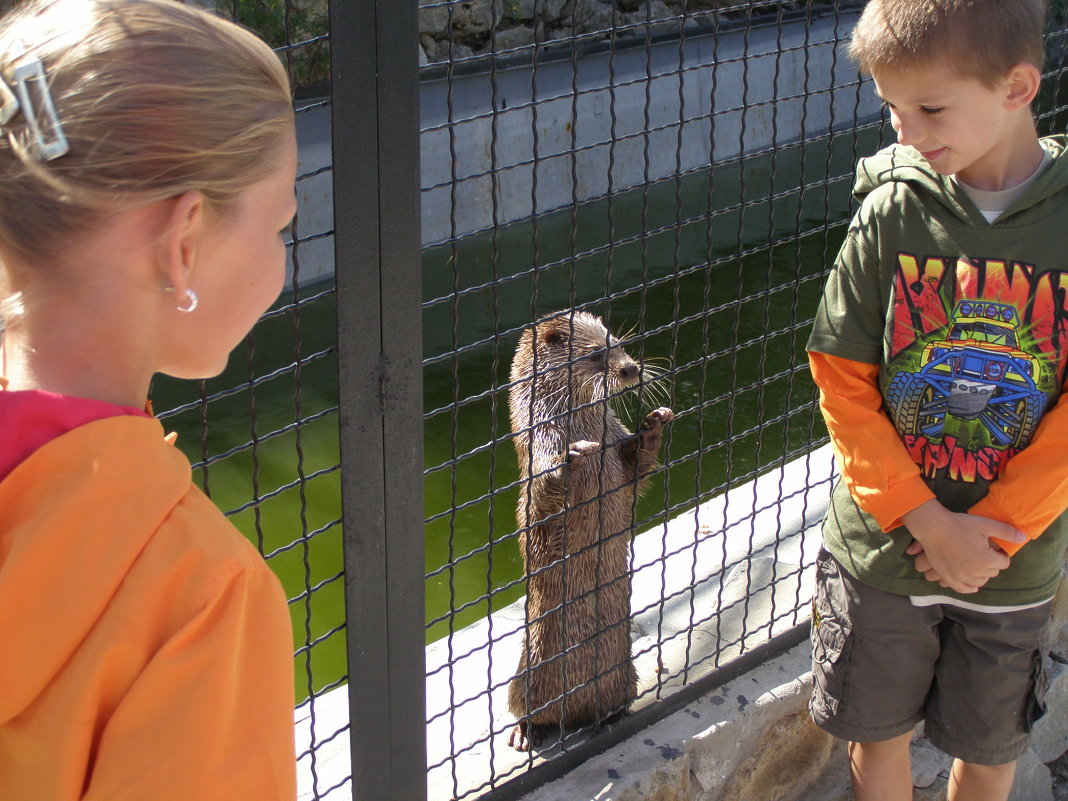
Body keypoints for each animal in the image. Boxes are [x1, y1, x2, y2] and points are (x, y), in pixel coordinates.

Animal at [504, 309, 670, 751]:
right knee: (524, 708)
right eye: (596, 354)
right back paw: (524, 733)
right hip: (527, 672)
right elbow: (541, 497)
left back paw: (613, 715)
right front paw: (573, 456)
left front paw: (654, 425)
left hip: (623, 674)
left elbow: (635, 471)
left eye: (619, 343)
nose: (631, 369)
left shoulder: (617, 450)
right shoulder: (538, 447)